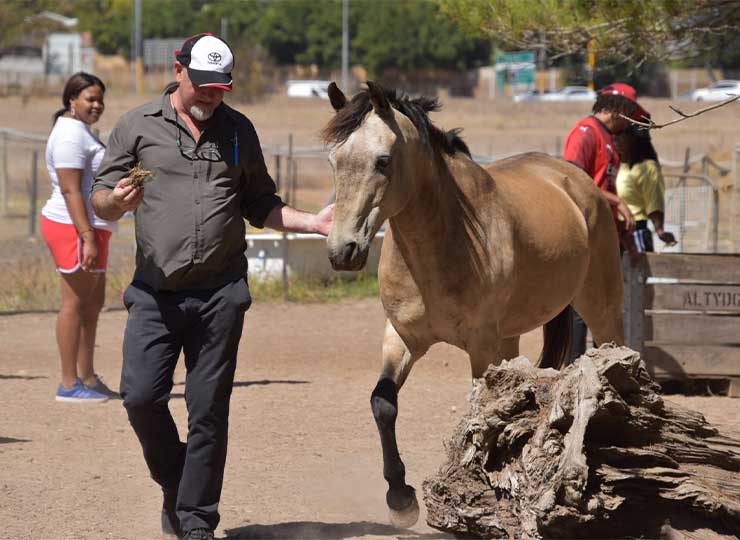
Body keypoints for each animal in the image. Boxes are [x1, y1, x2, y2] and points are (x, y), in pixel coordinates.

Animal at [322, 81, 625, 528]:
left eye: (383, 160)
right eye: (335, 159)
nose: (343, 250)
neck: (440, 244)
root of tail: (574, 180)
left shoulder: (481, 346)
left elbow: (481, 417)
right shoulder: (401, 338)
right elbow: (383, 404)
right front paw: (401, 498)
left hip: (600, 308)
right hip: (510, 337)